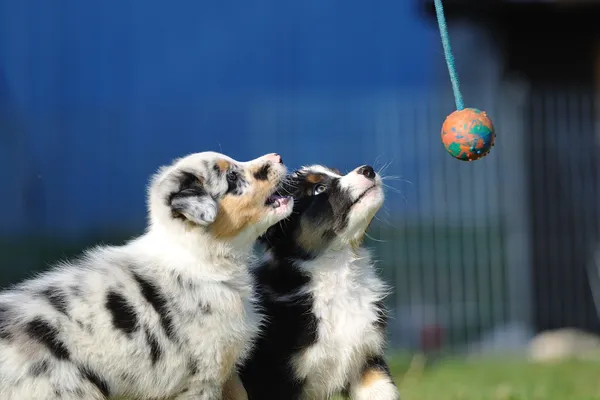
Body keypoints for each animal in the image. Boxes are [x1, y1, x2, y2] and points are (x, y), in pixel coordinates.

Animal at [238, 164, 398, 398]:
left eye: (338, 174)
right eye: (318, 189)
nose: (368, 170)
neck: (337, 271)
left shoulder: (367, 361)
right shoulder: (274, 381)